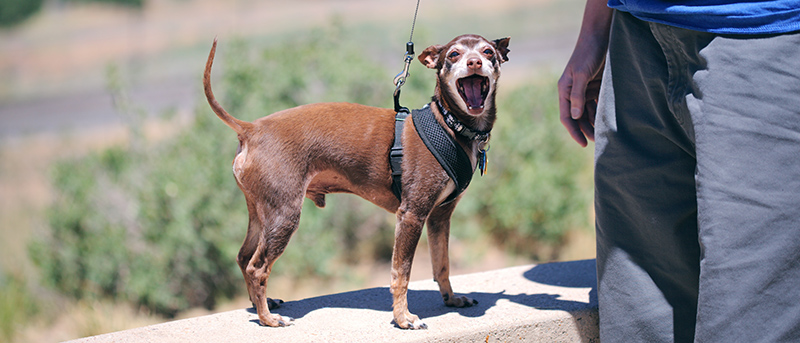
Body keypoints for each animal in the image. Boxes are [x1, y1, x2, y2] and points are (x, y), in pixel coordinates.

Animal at [203, 34, 510, 330]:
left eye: (488, 52)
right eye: (454, 54)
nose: (474, 62)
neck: (449, 125)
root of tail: (251, 129)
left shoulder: (439, 216)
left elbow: (441, 264)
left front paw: (451, 298)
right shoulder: (411, 215)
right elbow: (401, 273)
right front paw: (403, 318)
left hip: (261, 213)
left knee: (244, 258)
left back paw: (261, 305)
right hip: (283, 215)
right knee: (257, 267)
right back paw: (268, 318)